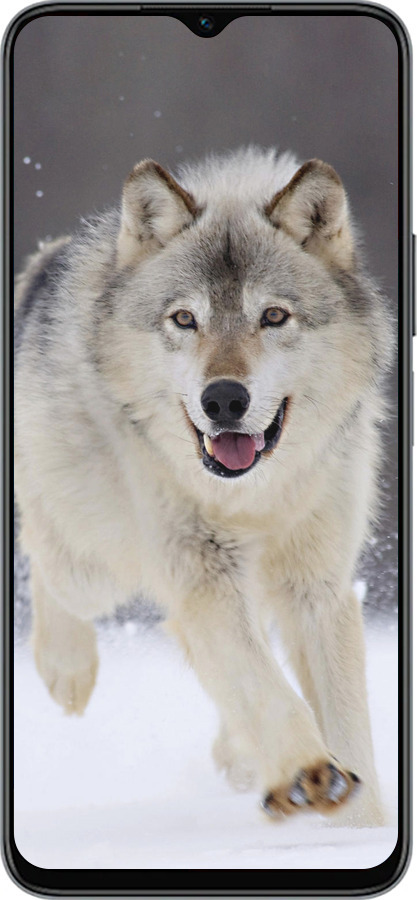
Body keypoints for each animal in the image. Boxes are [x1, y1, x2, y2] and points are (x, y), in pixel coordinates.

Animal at [14, 147, 393, 826]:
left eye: (273, 316)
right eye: (185, 319)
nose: (223, 399)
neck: (253, 497)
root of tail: (45, 261)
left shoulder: (317, 585)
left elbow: (345, 721)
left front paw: (360, 826)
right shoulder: (202, 574)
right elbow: (265, 687)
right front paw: (308, 773)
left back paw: (239, 757)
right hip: (97, 565)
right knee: (44, 554)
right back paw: (67, 671)